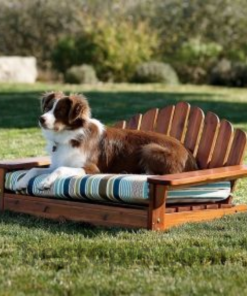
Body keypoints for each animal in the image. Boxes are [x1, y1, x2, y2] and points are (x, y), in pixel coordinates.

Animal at [14, 91, 197, 191]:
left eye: (59, 111)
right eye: (47, 108)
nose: (41, 119)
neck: (68, 135)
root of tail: (191, 158)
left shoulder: (91, 168)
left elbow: (60, 170)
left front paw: (45, 182)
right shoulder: (57, 162)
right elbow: (34, 169)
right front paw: (21, 182)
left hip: (149, 148)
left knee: (155, 173)